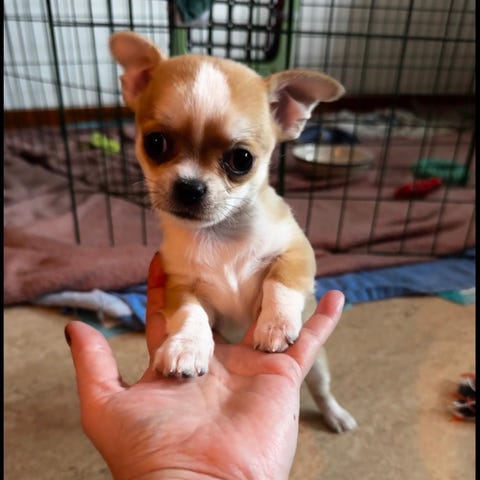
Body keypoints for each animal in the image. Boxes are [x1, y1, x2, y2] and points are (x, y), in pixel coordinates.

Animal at [110, 31, 357, 432]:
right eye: (155, 143)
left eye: (242, 160)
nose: (189, 187)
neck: (220, 234)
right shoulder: (182, 285)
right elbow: (190, 314)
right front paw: (188, 346)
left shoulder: (296, 251)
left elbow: (281, 282)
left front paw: (275, 324)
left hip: (317, 366)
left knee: (321, 389)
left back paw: (336, 415)